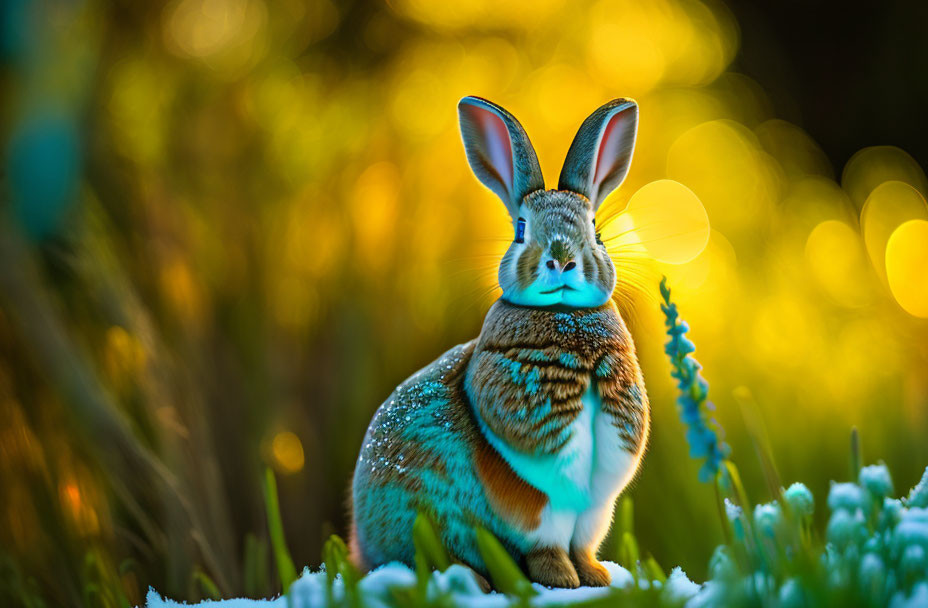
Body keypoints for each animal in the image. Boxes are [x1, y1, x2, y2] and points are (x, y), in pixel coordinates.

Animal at [352, 96, 648, 588]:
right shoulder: (538, 497)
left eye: (596, 230)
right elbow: (546, 540)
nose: (562, 259)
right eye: (521, 230)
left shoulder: (597, 501)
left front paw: (596, 578)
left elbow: (583, 543)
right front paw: (561, 581)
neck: (566, 319)